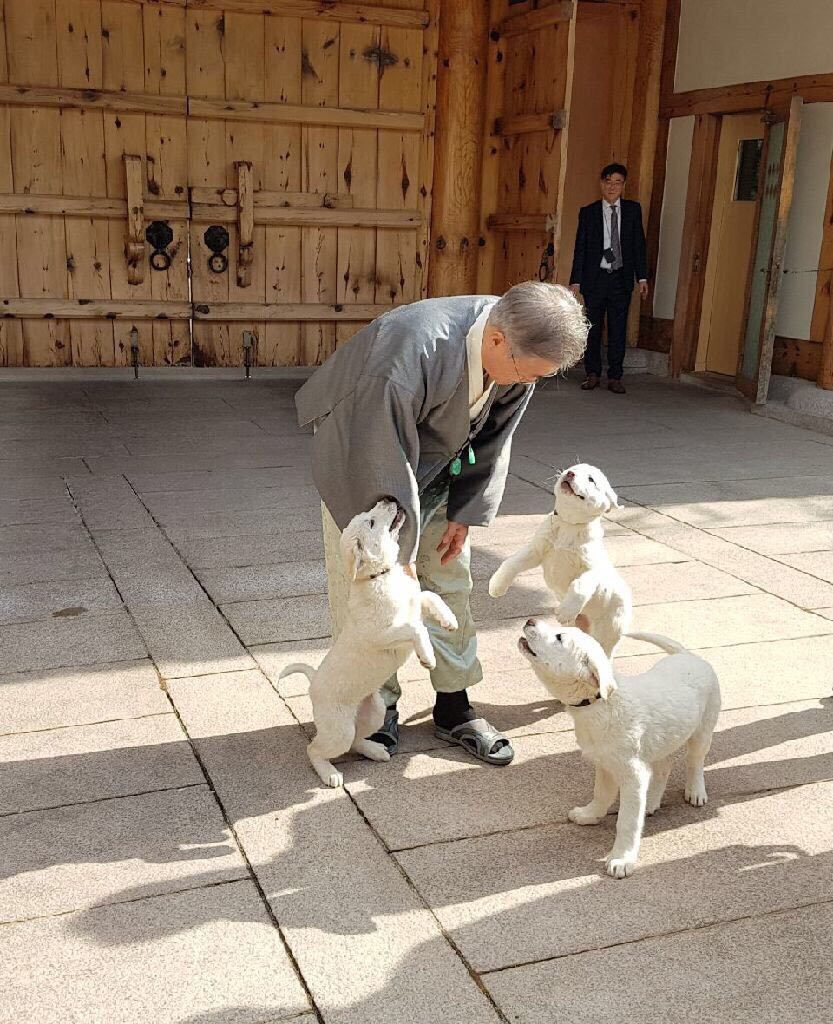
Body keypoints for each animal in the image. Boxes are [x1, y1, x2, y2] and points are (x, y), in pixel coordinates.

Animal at [282, 499, 459, 786]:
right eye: (372, 522)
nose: (389, 500)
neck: (380, 576)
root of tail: (313, 682)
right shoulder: (381, 635)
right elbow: (415, 629)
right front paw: (428, 657)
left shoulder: (414, 605)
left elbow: (430, 596)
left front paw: (449, 620)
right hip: (339, 728)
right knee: (314, 749)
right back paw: (330, 774)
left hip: (374, 711)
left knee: (356, 739)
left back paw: (375, 750)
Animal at [487, 464, 631, 655]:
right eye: (573, 468)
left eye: (591, 479)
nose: (570, 473)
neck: (569, 525)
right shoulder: (536, 550)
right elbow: (510, 563)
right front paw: (497, 586)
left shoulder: (592, 569)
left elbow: (580, 585)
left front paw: (566, 610)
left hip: (608, 629)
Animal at [516, 618, 717, 876]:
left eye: (559, 637)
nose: (530, 620)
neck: (599, 704)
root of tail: (687, 654)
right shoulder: (605, 764)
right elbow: (601, 794)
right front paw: (589, 814)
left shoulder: (632, 774)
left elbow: (627, 821)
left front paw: (622, 859)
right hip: (661, 740)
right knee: (664, 767)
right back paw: (651, 801)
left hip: (703, 730)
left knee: (695, 762)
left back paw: (695, 791)